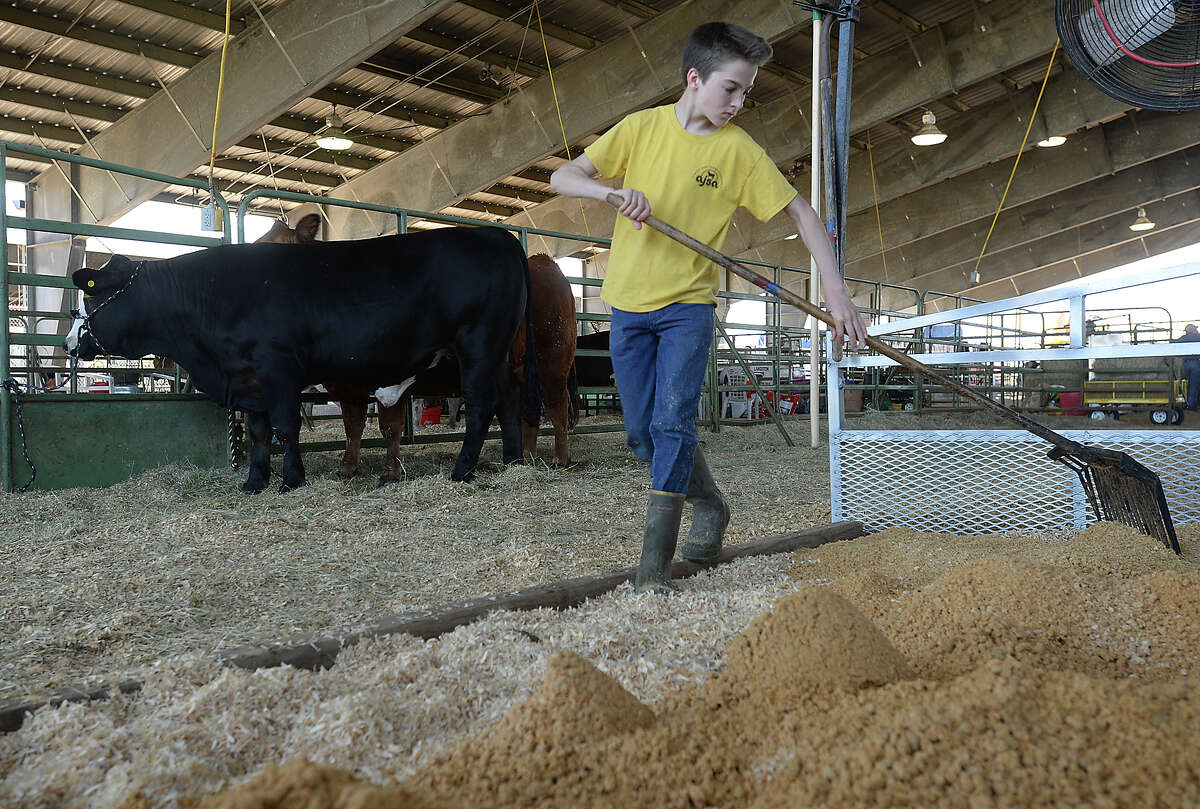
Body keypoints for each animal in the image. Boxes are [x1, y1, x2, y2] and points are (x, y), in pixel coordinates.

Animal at [63, 226, 537, 492]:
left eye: (94, 295)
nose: (70, 343)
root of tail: (497, 235)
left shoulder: (279, 370)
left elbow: (285, 427)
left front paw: (291, 479)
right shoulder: (249, 380)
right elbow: (258, 432)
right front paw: (254, 482)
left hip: (478, 345)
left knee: (481, 406)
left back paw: (463, 470)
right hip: (499, 355)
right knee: (509, 399)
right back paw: (512, 462)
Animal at [258, 213, 580, 480]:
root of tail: (540, 259)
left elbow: (389, 425)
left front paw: (390, 473)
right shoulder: (348, 381)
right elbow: (353, 425)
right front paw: (348, 468)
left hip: (549, 359)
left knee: (553, 404)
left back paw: (555, 458)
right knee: (517, 403)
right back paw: (521, 458)